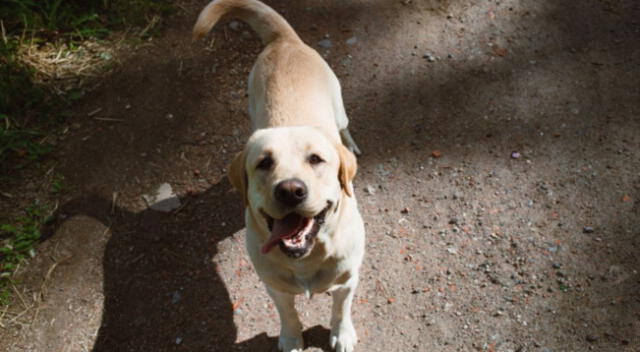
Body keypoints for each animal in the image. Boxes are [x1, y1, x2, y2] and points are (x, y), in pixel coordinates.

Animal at [194, 0, 364, 352]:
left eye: (316, 159)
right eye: (264, 163)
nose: (290, 190)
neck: (306, 257)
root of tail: (284, 41)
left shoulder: (347, 281)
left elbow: (341, 309)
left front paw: (342, 334)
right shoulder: (275, 287)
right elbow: (287, 313)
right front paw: (291, 337)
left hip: (339, 106)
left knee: (344, 126)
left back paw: (350, 144)